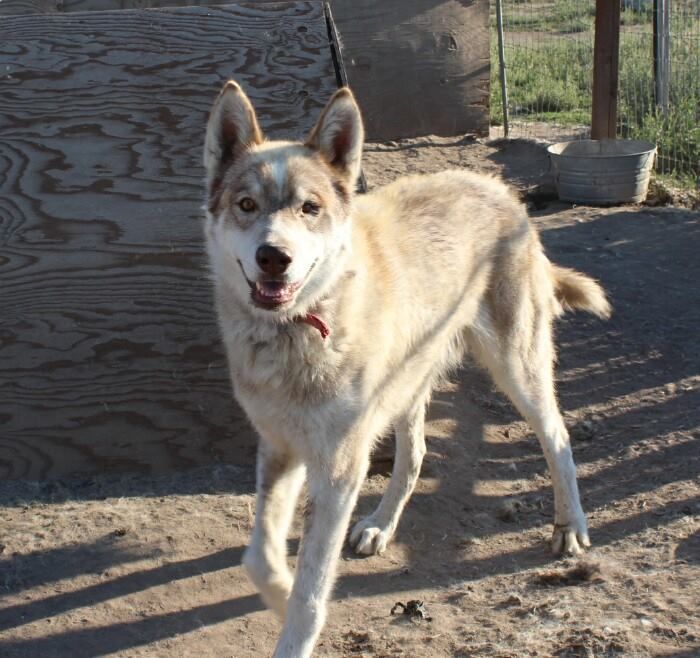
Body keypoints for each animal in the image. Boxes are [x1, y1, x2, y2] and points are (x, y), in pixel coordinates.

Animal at [201, 79, 608, 652]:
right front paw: (277, 592)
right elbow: (258, 555)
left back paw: (569, 527)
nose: (273, 257)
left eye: (309, 208)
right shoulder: (281, 447)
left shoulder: (339, 468)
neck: (298, 328)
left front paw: (295, 625)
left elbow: (311, 587)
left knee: (558, 437)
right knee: (414, 455)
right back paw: (379, 525)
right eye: (245, 204)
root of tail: (499, 189)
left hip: (517, 370)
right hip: (407, 382)